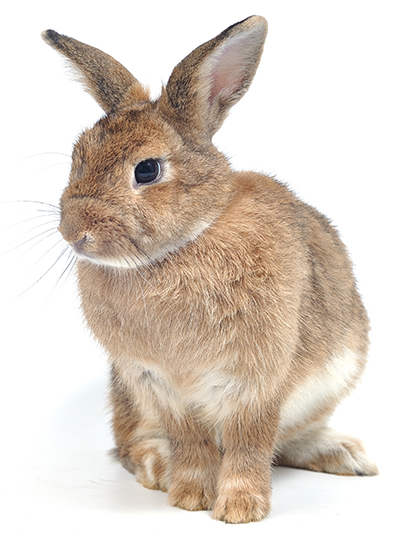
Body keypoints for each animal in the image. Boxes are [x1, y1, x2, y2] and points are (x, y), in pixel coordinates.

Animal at [41, 14, 378, 524]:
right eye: (79, 156)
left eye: (147, 170)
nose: (73, 231)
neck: (183, 245)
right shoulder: (158, 383)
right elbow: (192, 443)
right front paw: (189, 497)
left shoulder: (257, 379)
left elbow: (248, 445)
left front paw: (240, 509)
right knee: (129, 445)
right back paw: (158, 466)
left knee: (285, 442)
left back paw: (347, 456)